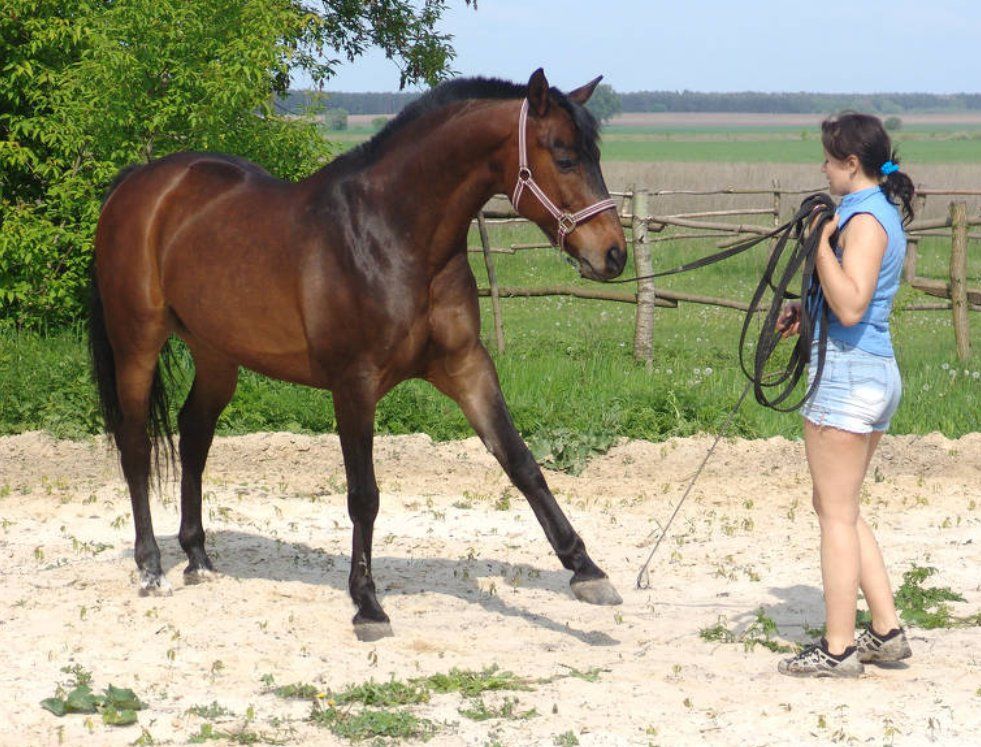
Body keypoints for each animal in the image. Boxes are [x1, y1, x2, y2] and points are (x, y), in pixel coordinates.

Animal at [89, 68, 627, 641]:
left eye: (595, 155)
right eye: (564, 156)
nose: (614, 254)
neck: (392, 234)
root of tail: (140, 183)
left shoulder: (467, 366)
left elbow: (522, 462)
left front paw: (587, 572)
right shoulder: (354, 384)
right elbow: (363, 495)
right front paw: (367, 604)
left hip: (216, 354)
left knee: (194, 434)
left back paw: (199, 558)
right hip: (137, 344)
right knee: (135, 446)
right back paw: (151, 568)